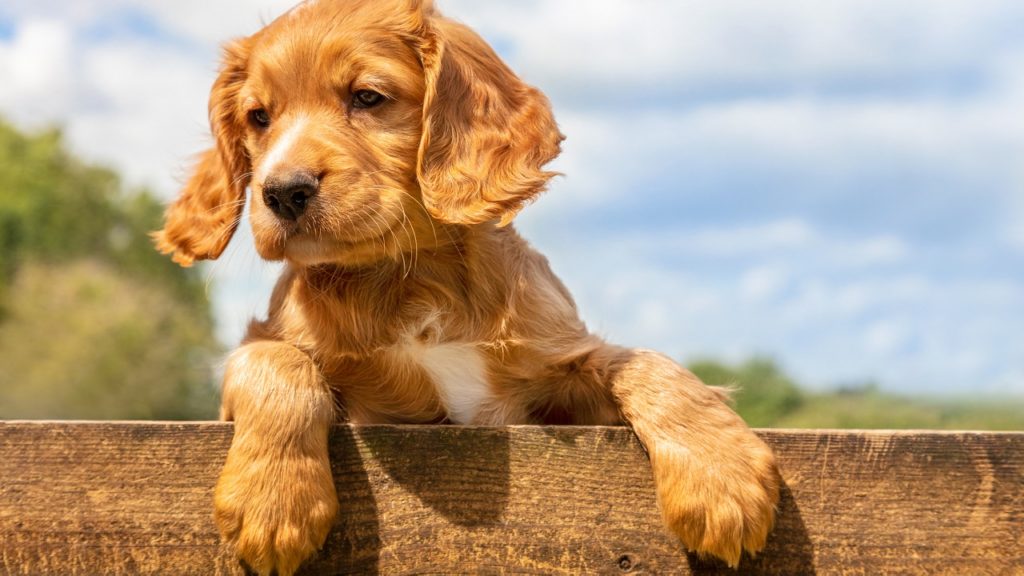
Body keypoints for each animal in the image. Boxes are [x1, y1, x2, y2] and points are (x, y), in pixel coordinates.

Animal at [153, 2, 774, 569]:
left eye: (368, 97)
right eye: (259, 117)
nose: (282, 192)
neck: (415, 281)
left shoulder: (555, 372)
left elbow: (644, 362)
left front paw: (723, 477)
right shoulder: (280, 362)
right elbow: (273, 361)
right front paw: (274, 502)